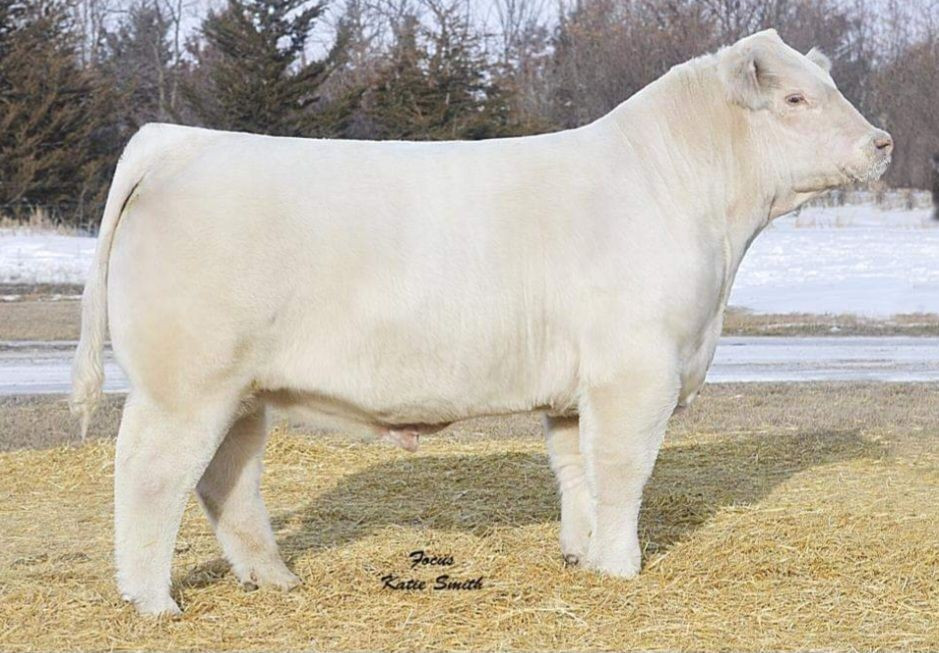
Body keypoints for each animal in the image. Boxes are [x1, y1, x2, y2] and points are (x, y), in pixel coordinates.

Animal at [71, 29, 892, 616]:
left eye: (832, 88)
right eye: (795, 100)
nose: (880, 143)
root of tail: (181, 140)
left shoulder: (576, 389)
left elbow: (576, 471)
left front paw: (581, 556)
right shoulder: (636, 370)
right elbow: (622, 469)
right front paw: (622, 567)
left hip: (239, 389)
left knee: (226, 478)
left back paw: (273, 578)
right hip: (185, 384)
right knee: (150, 474)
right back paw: (153, 601)